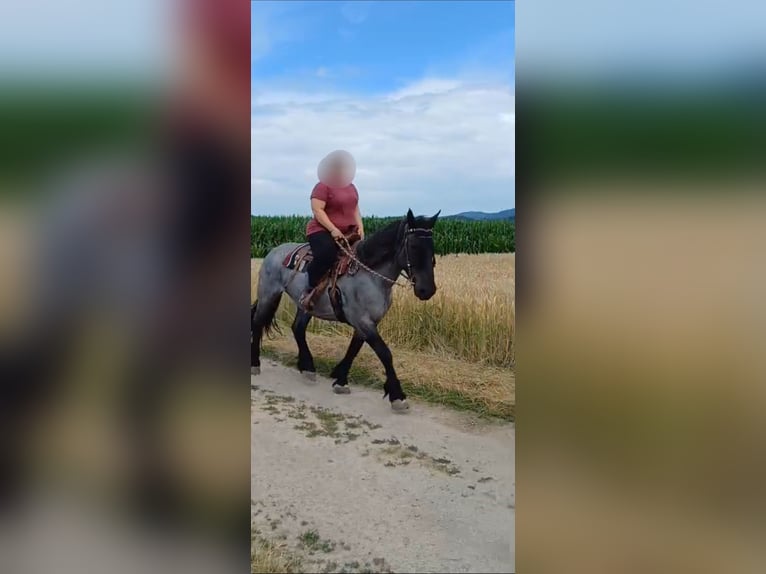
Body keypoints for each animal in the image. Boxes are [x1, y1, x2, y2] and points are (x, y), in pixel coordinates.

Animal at [251, 209, 440, 412]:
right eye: (413, 246)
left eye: (432, 247)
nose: (427, 290)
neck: (370, 275)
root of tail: (273, 251)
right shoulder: (363, 321)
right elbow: (385, 353)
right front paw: (397, 395)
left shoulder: (367, 322)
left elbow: (353, 349)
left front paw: (341, 379)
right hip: (268, 295)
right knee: (258, 322)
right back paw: (255, 364)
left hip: (306, 306)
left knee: (298, 329)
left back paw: (307, 368)